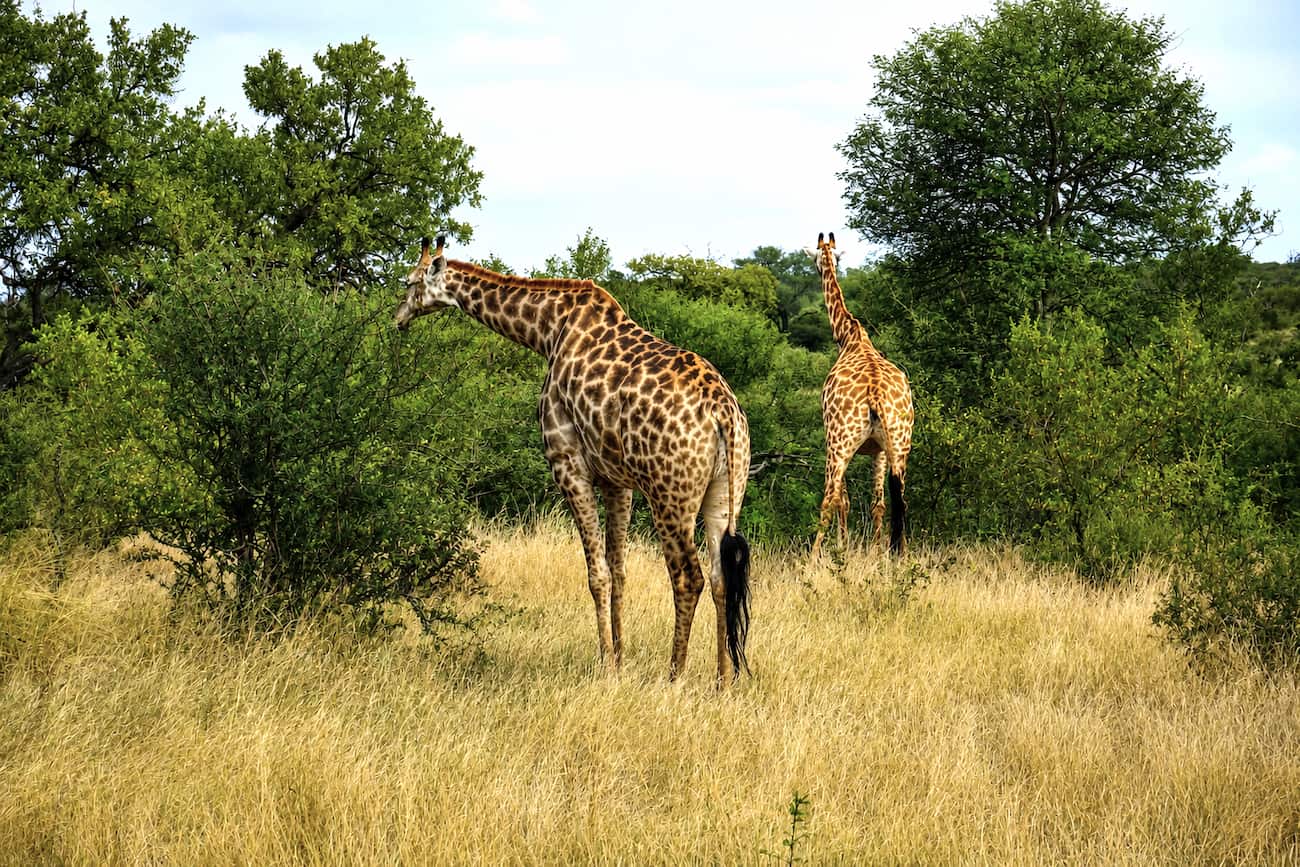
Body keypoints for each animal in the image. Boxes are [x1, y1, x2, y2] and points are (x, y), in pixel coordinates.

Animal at [395, 237, 752, 683]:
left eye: (408, 282)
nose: (398, 319)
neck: (548, 330)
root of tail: (723, 413)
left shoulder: (568, 463)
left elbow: (596, 574)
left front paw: (606, 664)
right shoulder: (618, 480)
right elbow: (619, 571)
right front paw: (620, 658)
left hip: (670, 494)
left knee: (688, 576)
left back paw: (674, 676)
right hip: (725, 489)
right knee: (721, 576)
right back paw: (723, 680)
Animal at [809, 232, 914, 559]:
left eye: (816, 258)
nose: (819, 267)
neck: (849, 337)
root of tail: (876, 396)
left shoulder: (831, 438)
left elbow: (842, 500)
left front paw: (840, 550)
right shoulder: (878, 449)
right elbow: (877, 504)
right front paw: (877, 554)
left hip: (839, 443)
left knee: (829, 498)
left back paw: (810, 560)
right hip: (899, 445)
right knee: (899, 499)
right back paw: (901, 556)